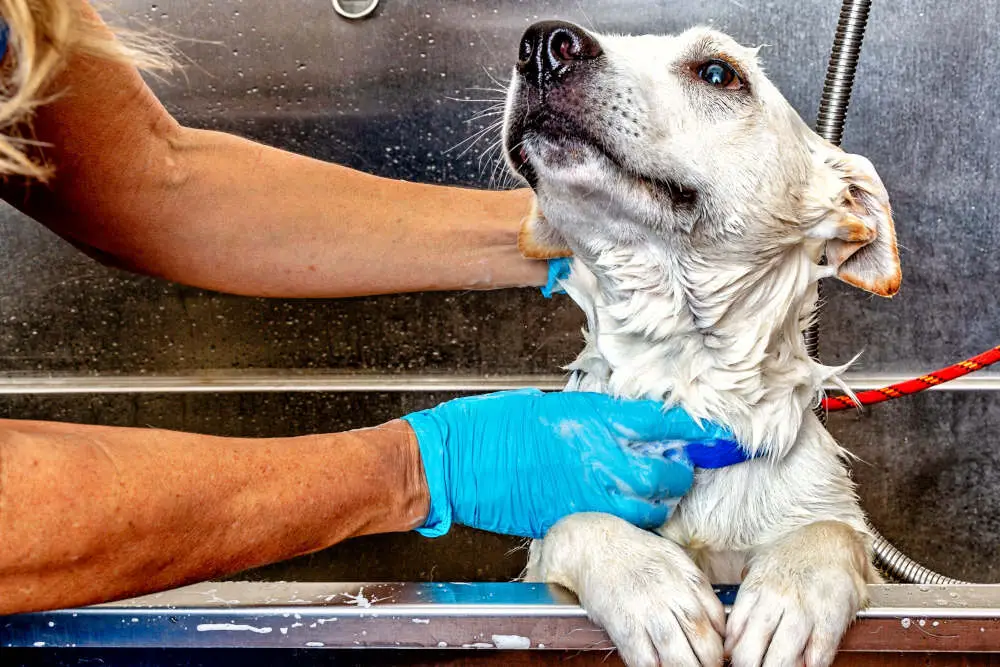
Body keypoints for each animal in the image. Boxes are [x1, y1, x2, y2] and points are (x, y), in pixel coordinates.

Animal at [500, 20, 900, 667]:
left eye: (718, 73)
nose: (542, 43)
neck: (688, 390)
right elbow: (577, 519)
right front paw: (651, 587)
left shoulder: (839, 532)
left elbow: (834, 531)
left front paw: (789, 596)